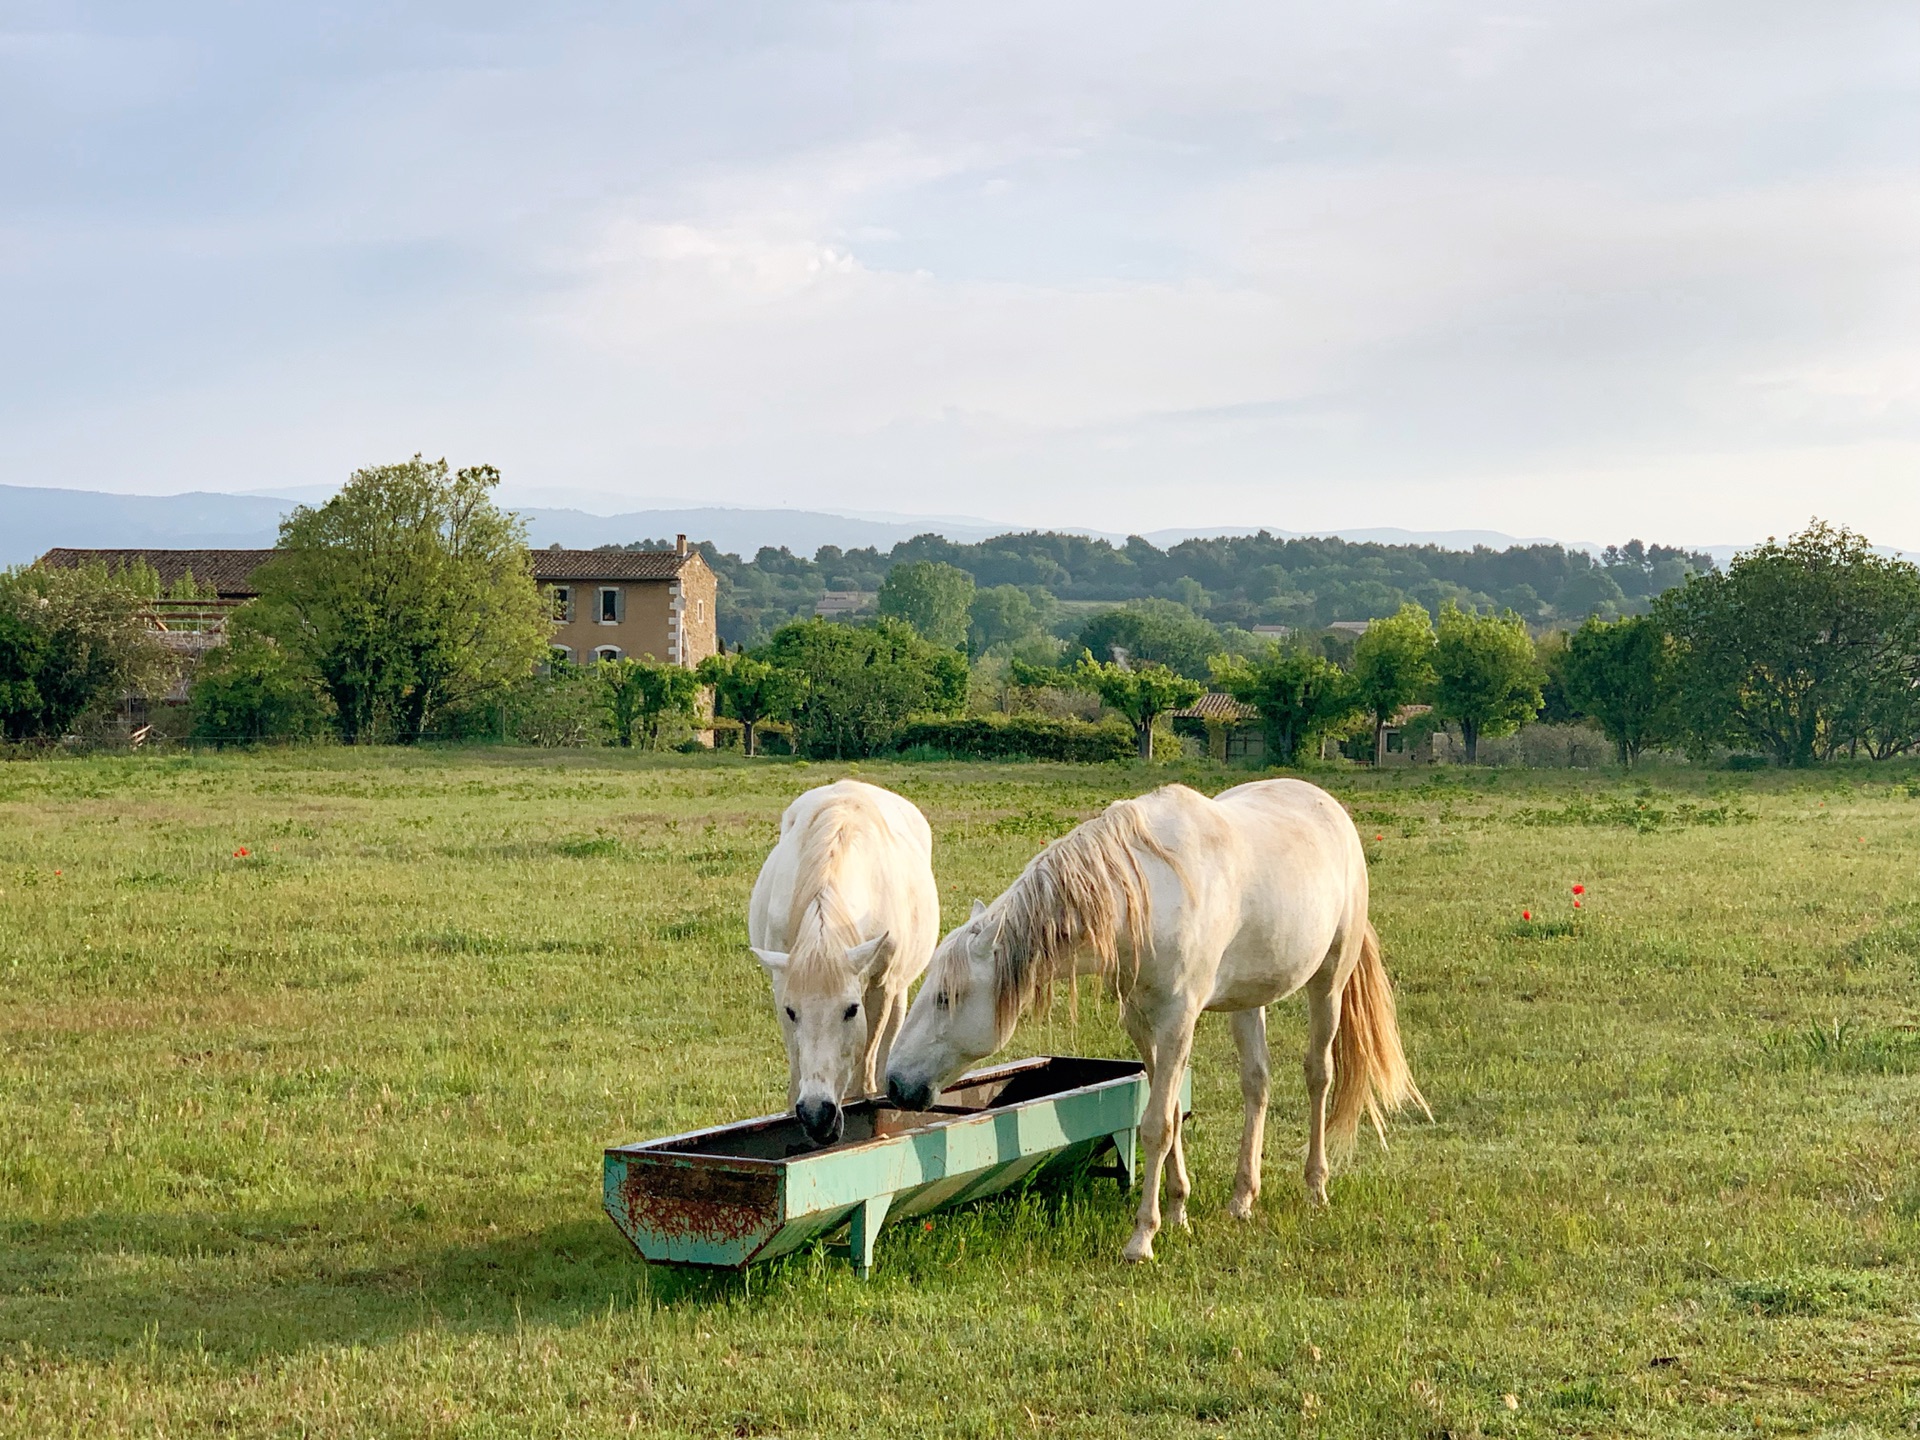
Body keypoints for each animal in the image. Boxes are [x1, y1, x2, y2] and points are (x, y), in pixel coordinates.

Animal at [748, 779, 936, 1152]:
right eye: (791, 1011)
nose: (817, 1115)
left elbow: (864, 1059)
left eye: (850, 1010)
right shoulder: (782, 983)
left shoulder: (879, 986)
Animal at [887, 779, 1428, 1259]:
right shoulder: (1144, 1023)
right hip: (1247, 1000)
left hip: (1329, 981)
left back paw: (1316, 1186)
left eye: (946, 997)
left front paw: (1143, 1237)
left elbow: (1156, 1126)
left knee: (1319, 1075)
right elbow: (1170, 1112)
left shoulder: (1177, 1021)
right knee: (1257, 1083)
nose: (894, 1082)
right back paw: (1242, 1198)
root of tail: (1328, 806)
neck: (1148, 898)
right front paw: (1178, 1212)